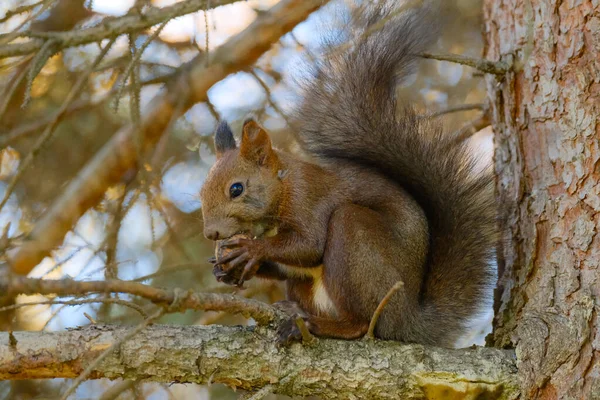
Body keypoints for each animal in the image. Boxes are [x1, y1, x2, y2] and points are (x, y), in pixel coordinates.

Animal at [199, 0, 494, 346]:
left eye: (236, 189)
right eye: (201, 192)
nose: (211, 234)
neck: (283, 184)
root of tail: (407, 321)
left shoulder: (308, 197)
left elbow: (309, 245)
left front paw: (251, 249)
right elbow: (289, 266)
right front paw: (226, 267)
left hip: (355, 240)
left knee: (362, 323)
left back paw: (315, 325)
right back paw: (295, 312)